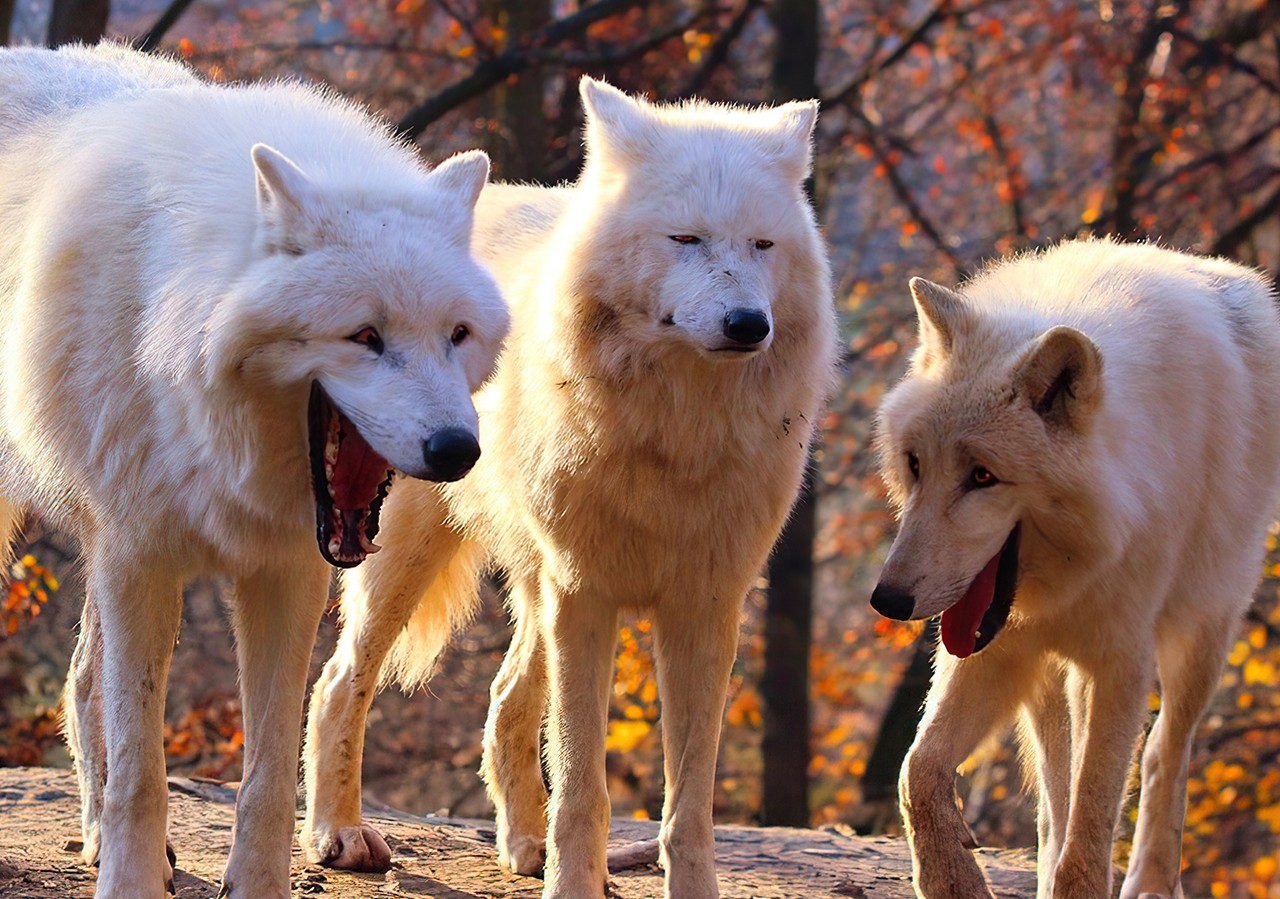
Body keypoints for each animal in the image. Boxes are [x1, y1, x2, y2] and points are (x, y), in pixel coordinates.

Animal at [0, 44, 507, 898]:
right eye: (364, 335)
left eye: (457, 334)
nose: (456, 451)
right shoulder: (140, 558)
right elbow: (143, 769)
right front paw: (133, 879)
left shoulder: (284, 569)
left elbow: (267, 773)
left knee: (80, 681)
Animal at [300, 78, 837, 898]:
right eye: (686, 239)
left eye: (762, 246)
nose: (750, 324)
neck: (675, 431)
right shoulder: (588, 593)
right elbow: (585, 783)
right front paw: (574, 880)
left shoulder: (706, 607)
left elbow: (689, 802)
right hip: (407, 560)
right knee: (339, 682)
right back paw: (339, 833)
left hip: (535, 585)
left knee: (502, 703)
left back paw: (522, 844)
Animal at [870, 240, 1280, 899]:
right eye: (914, 464)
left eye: (982, 476)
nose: (888, 600)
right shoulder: (996, 646)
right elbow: (920, 770)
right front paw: (953, 880)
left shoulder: (1119, 662)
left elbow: (1091, 832)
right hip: (1049, 678)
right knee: (1053, 794)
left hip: (1202, 635)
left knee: (1163, 752)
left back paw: (1150, 881)